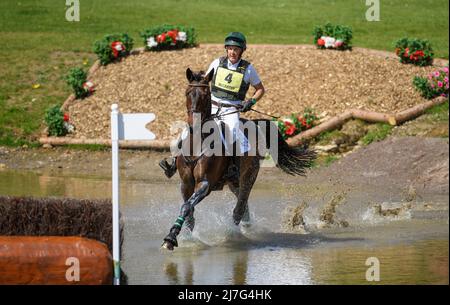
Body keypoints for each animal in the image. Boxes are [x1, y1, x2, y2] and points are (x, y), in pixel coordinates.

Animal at [162, 67, 316, 248]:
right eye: (187, 93)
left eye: (206, 95)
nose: (193, 126)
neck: (197, 143)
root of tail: (255, 125)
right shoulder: (186, 183)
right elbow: (188, 210)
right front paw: (184, 238)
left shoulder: (205, 184)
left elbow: (187, 207)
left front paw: (171, 238)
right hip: (234, 182)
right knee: (244, 207)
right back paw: (245, 229)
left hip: (248, 177)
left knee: (239, 208)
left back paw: (233, 235)